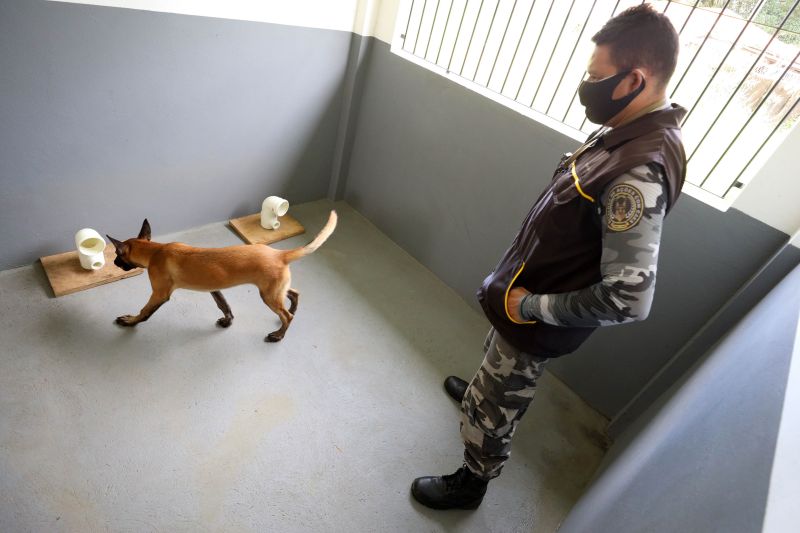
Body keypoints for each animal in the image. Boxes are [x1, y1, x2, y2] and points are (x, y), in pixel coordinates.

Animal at [104, 211, 336, 340]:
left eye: (117, 255)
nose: (114, 263)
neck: (155, 251)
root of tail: (279, 253)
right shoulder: (214, 288)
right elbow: (224, 305)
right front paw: (228, 321)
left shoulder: (159, 294)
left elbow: (144, 312)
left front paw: (130, 321)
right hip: (275, 289)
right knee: (294, 295)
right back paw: (291, 313)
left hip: (268, 295)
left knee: (287, 316)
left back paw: (279, 334)